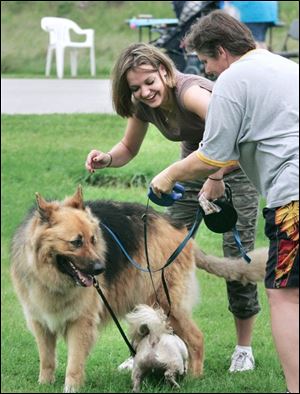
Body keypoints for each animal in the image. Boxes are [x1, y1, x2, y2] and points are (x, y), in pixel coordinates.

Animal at [10, 186, 268, 392]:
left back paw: (195, 377)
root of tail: (182, 233)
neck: (50, 275)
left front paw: (71, 387)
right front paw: (44, 384)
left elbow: (74, 364)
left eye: (94, 239)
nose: (101, 268)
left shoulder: (81, 324)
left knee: (196, 338)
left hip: (166, 302)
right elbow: (47, 360)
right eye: (76, 242)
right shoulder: (40, 323)